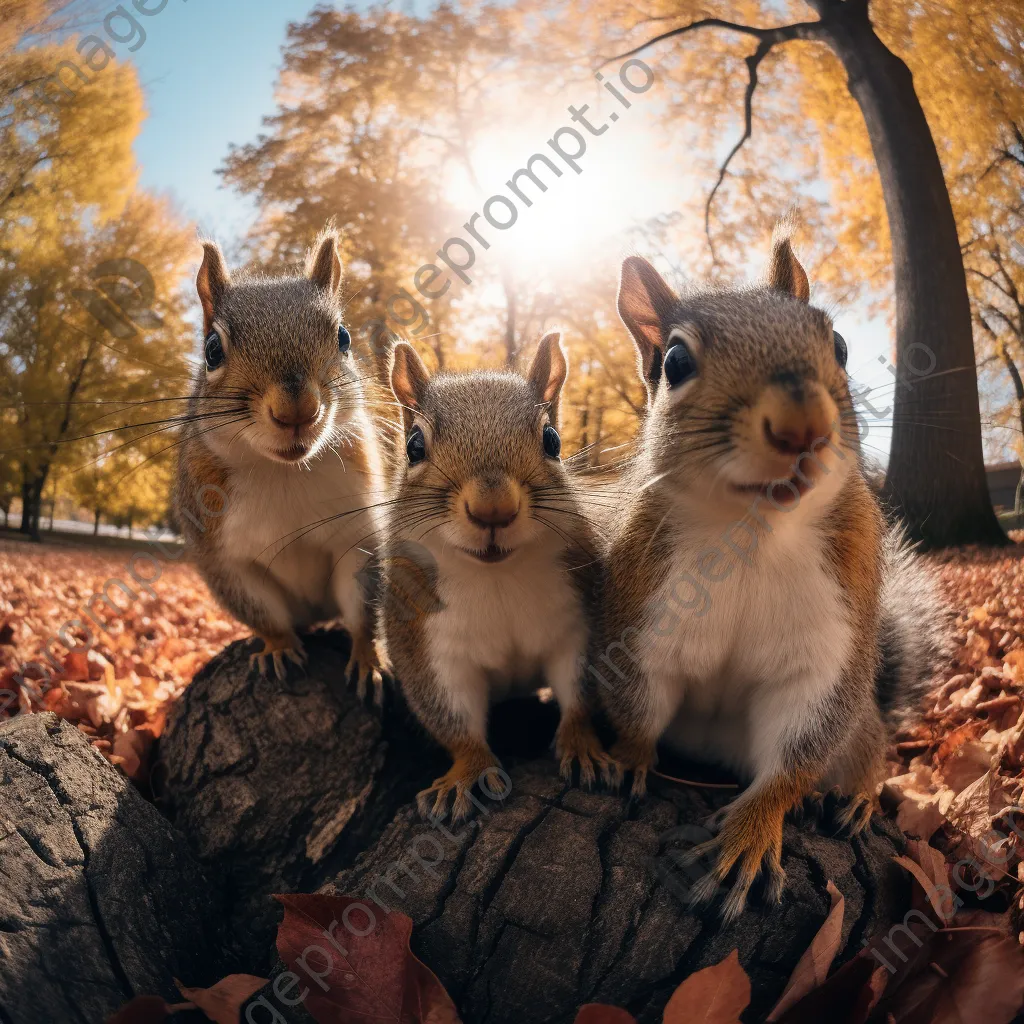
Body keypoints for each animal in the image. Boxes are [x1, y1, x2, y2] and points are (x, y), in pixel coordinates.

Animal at [175, 229, 387, 696]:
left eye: (344, 338)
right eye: (212, 350)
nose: (297, 410)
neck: (284, 472)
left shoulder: (358, 535)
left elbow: (363, 607)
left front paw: (368, 659)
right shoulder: (225, 558)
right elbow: (262, 612)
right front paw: (279, 649)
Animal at [380, 331, 610, 819]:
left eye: (552, 440)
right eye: (414, 447)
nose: (493, 509)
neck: (497, 579)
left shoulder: (577, 625)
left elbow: (579, 692)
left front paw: (583, 747)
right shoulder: (430, 644)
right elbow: (453, 717)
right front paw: (465, 774)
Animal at [598, 230, 942, 921]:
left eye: (839, 346)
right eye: (675, 362)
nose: (802, 425)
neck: (753, 533)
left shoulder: (827, 645)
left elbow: (796, 749)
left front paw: (751, 836)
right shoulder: (643, 620)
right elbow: (639, 706)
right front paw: (626, 760)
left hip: (864, 725)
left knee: (863, 748)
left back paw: (854, 796)